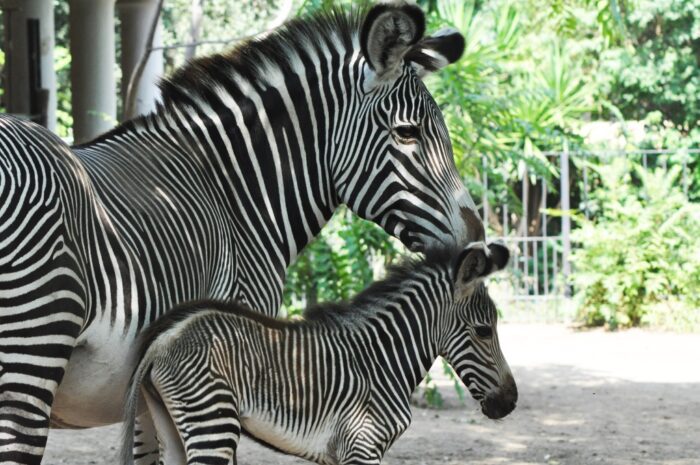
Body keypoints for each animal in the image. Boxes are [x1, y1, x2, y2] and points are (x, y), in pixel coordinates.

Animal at [121, 243, 516, 464]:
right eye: (484, 330)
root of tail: (166, 335)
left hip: (172, 424)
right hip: (212, 422)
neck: (382, 360)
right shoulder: (363, 445)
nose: (509, 403)